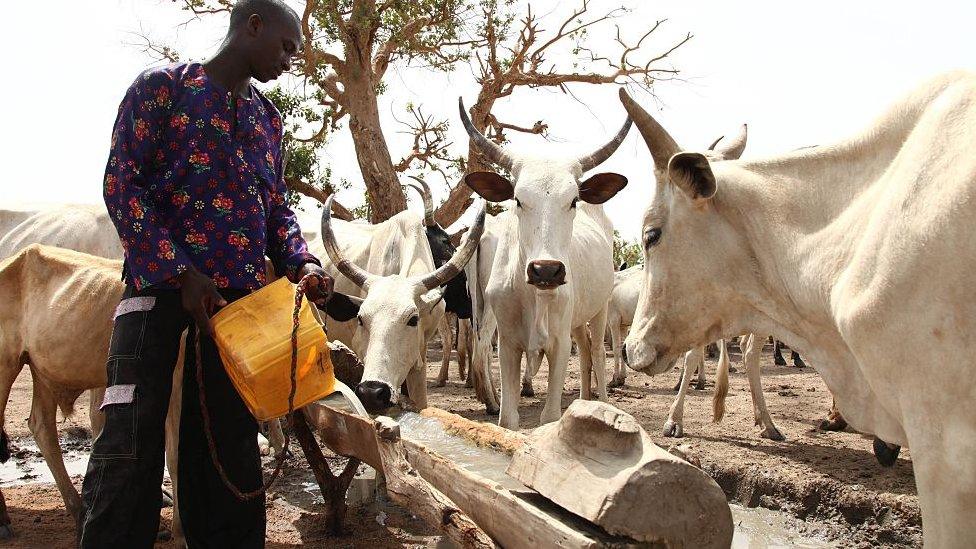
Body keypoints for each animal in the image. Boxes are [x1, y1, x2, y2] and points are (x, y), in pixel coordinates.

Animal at [460, 96, 628, 426]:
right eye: (518, 199)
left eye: (573, 200)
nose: (546, 270)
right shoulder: (508, 345)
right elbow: (507, 420)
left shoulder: (560, 345)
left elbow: (550, 417)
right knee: (585, 351)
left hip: (601, 308)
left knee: (598, 354)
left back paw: (602, 402)